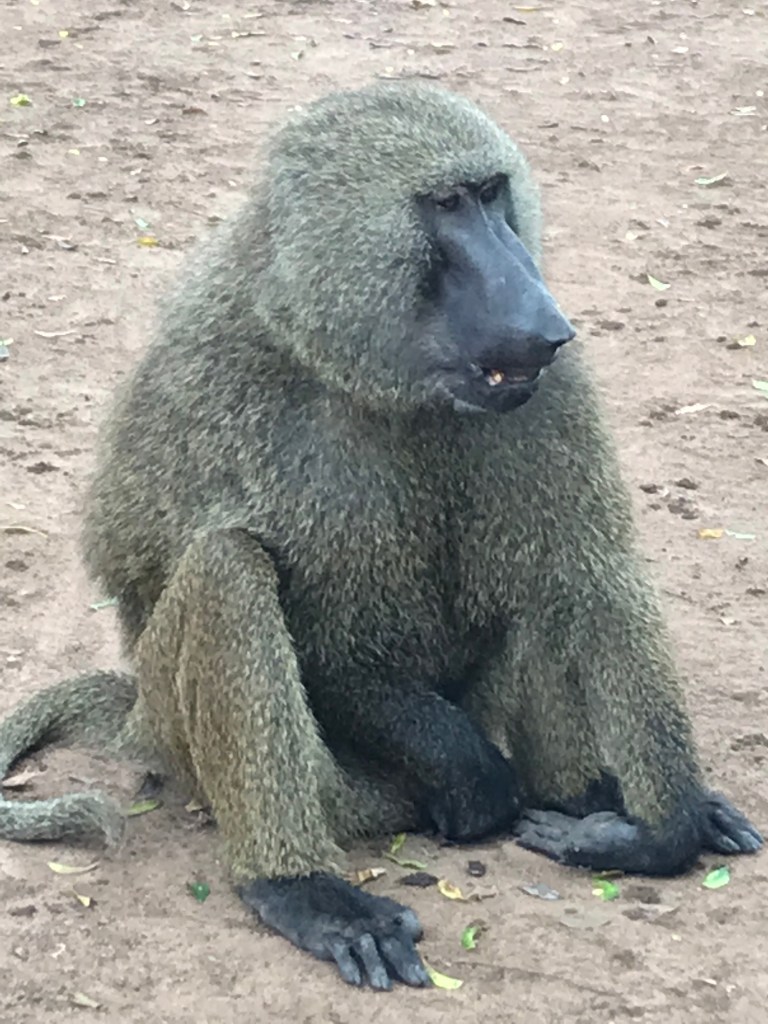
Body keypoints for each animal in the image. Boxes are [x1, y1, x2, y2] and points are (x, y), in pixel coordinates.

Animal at [0, 82, 762, 992]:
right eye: (446, 205)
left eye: (493, 194)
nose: (544, 320)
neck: (358, 362)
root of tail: (137, 721)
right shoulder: (200, 374)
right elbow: (302, 632)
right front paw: (471, 781)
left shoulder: (547, 389)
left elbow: (593, 572)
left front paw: (660, 832)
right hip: (261, 764)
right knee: (226, 568)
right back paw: (302, 887)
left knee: (550, 584)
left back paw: (587, 801)